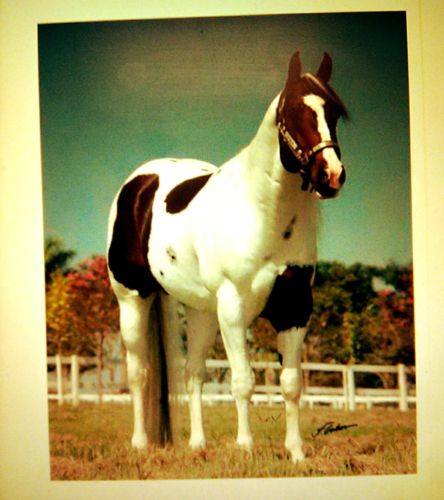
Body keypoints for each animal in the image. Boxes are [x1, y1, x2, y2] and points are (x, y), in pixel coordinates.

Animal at [107, 51, 348, 463]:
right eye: (292, 112)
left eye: (332, 112)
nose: (330, 175)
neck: (261, 212)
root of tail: (139, 183)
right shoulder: (234, 308)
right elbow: (243, 382)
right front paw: (246, 448)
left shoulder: (295, 308)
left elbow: (291, 383)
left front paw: (296, 452)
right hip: (132, 299)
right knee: (139, 371)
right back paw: (140, 444)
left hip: (202, 311)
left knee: (193, 373)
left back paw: (198, 445)